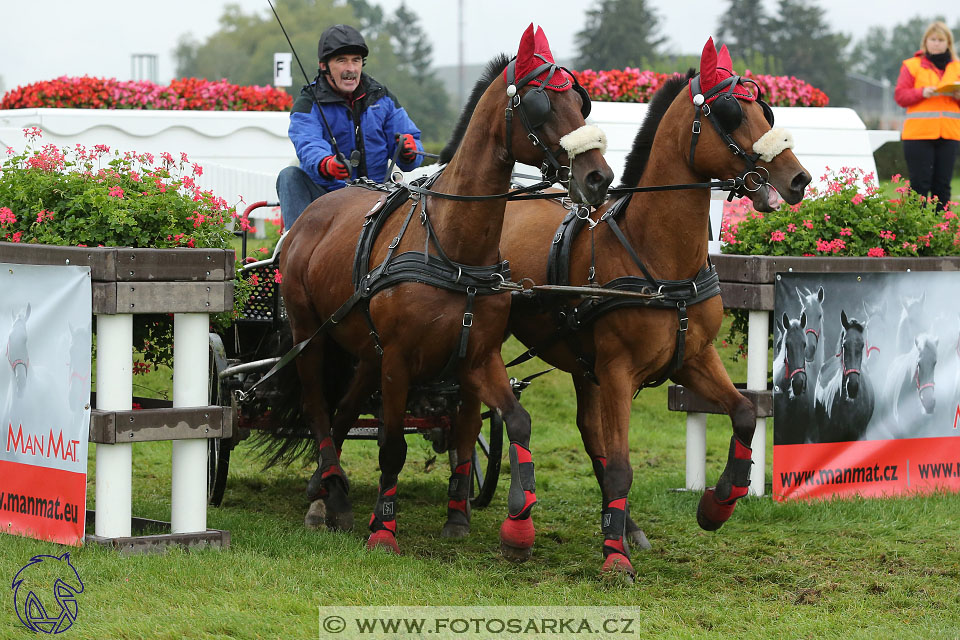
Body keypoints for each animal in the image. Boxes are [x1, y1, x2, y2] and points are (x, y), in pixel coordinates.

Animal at [274, 22, 612, 556]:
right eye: (541, 103)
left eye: (581, 102)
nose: (599, 177)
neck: (454, 245)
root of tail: (313, 214)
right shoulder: (397, 359)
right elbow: (392, 445)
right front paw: (383, 530)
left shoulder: (478, 356)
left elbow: (514, 420)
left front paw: (517, 522)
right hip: (313, 336)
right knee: (317, 408)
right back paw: (329, 492)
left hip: (364, 350)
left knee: (344, 410)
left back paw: (329, 492)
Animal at [450, 38, 808, 576]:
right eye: (730, 113)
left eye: (764, 109)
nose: (798, 178)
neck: (656, 257)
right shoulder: (618, 371)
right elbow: (621, 465)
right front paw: (614, 557)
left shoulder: (693, 358)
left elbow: (746, 411)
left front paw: (718, 503)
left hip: (582, 362)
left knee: (587, 430)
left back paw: (625, 524)